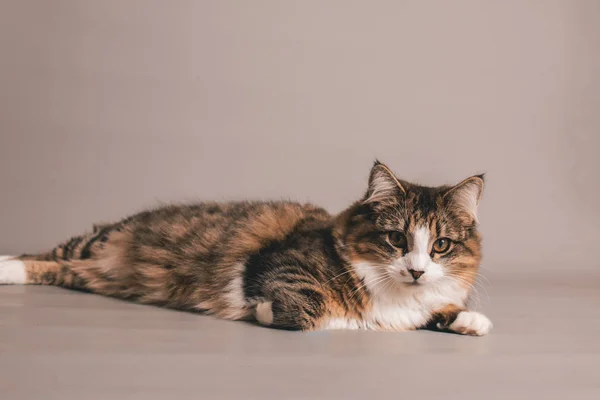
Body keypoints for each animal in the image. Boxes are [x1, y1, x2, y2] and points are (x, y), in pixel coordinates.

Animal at [0, 160, 492, 334]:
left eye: (441, 245)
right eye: (396, 239)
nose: (416, 270)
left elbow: (445, 312)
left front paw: (471, 320)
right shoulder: (279, 263)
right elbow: (304, 308)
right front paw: (263, 311)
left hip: (86, 265)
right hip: (93, 243)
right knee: (42, 257)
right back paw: (6, 266)